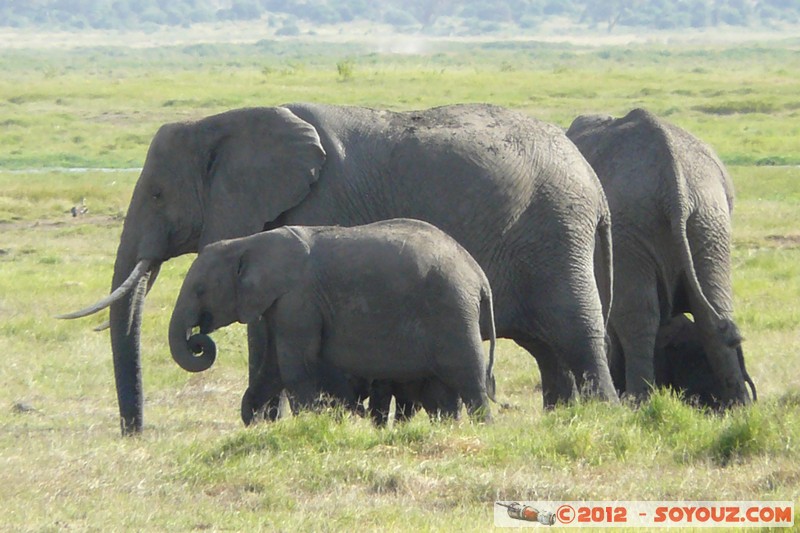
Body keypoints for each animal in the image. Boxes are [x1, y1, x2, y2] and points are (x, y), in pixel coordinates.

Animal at [167, 218, 494, 422]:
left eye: (200, 290)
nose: (199, 341)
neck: (248, 243)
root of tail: (479, 276)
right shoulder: (281, 306)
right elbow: (272, 367)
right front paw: (253, 416)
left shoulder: (297, 301)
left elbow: (295, 367)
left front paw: (307, 422)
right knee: (447, 391)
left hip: (453, 310)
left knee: (470, 380)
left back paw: (484, 432)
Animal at [564, 108, 752, 408]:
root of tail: (675, 183)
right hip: (709, 220)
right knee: (714, 311)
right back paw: (738, 405)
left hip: (633, 228)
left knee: (639, 318)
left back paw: (637, 401)